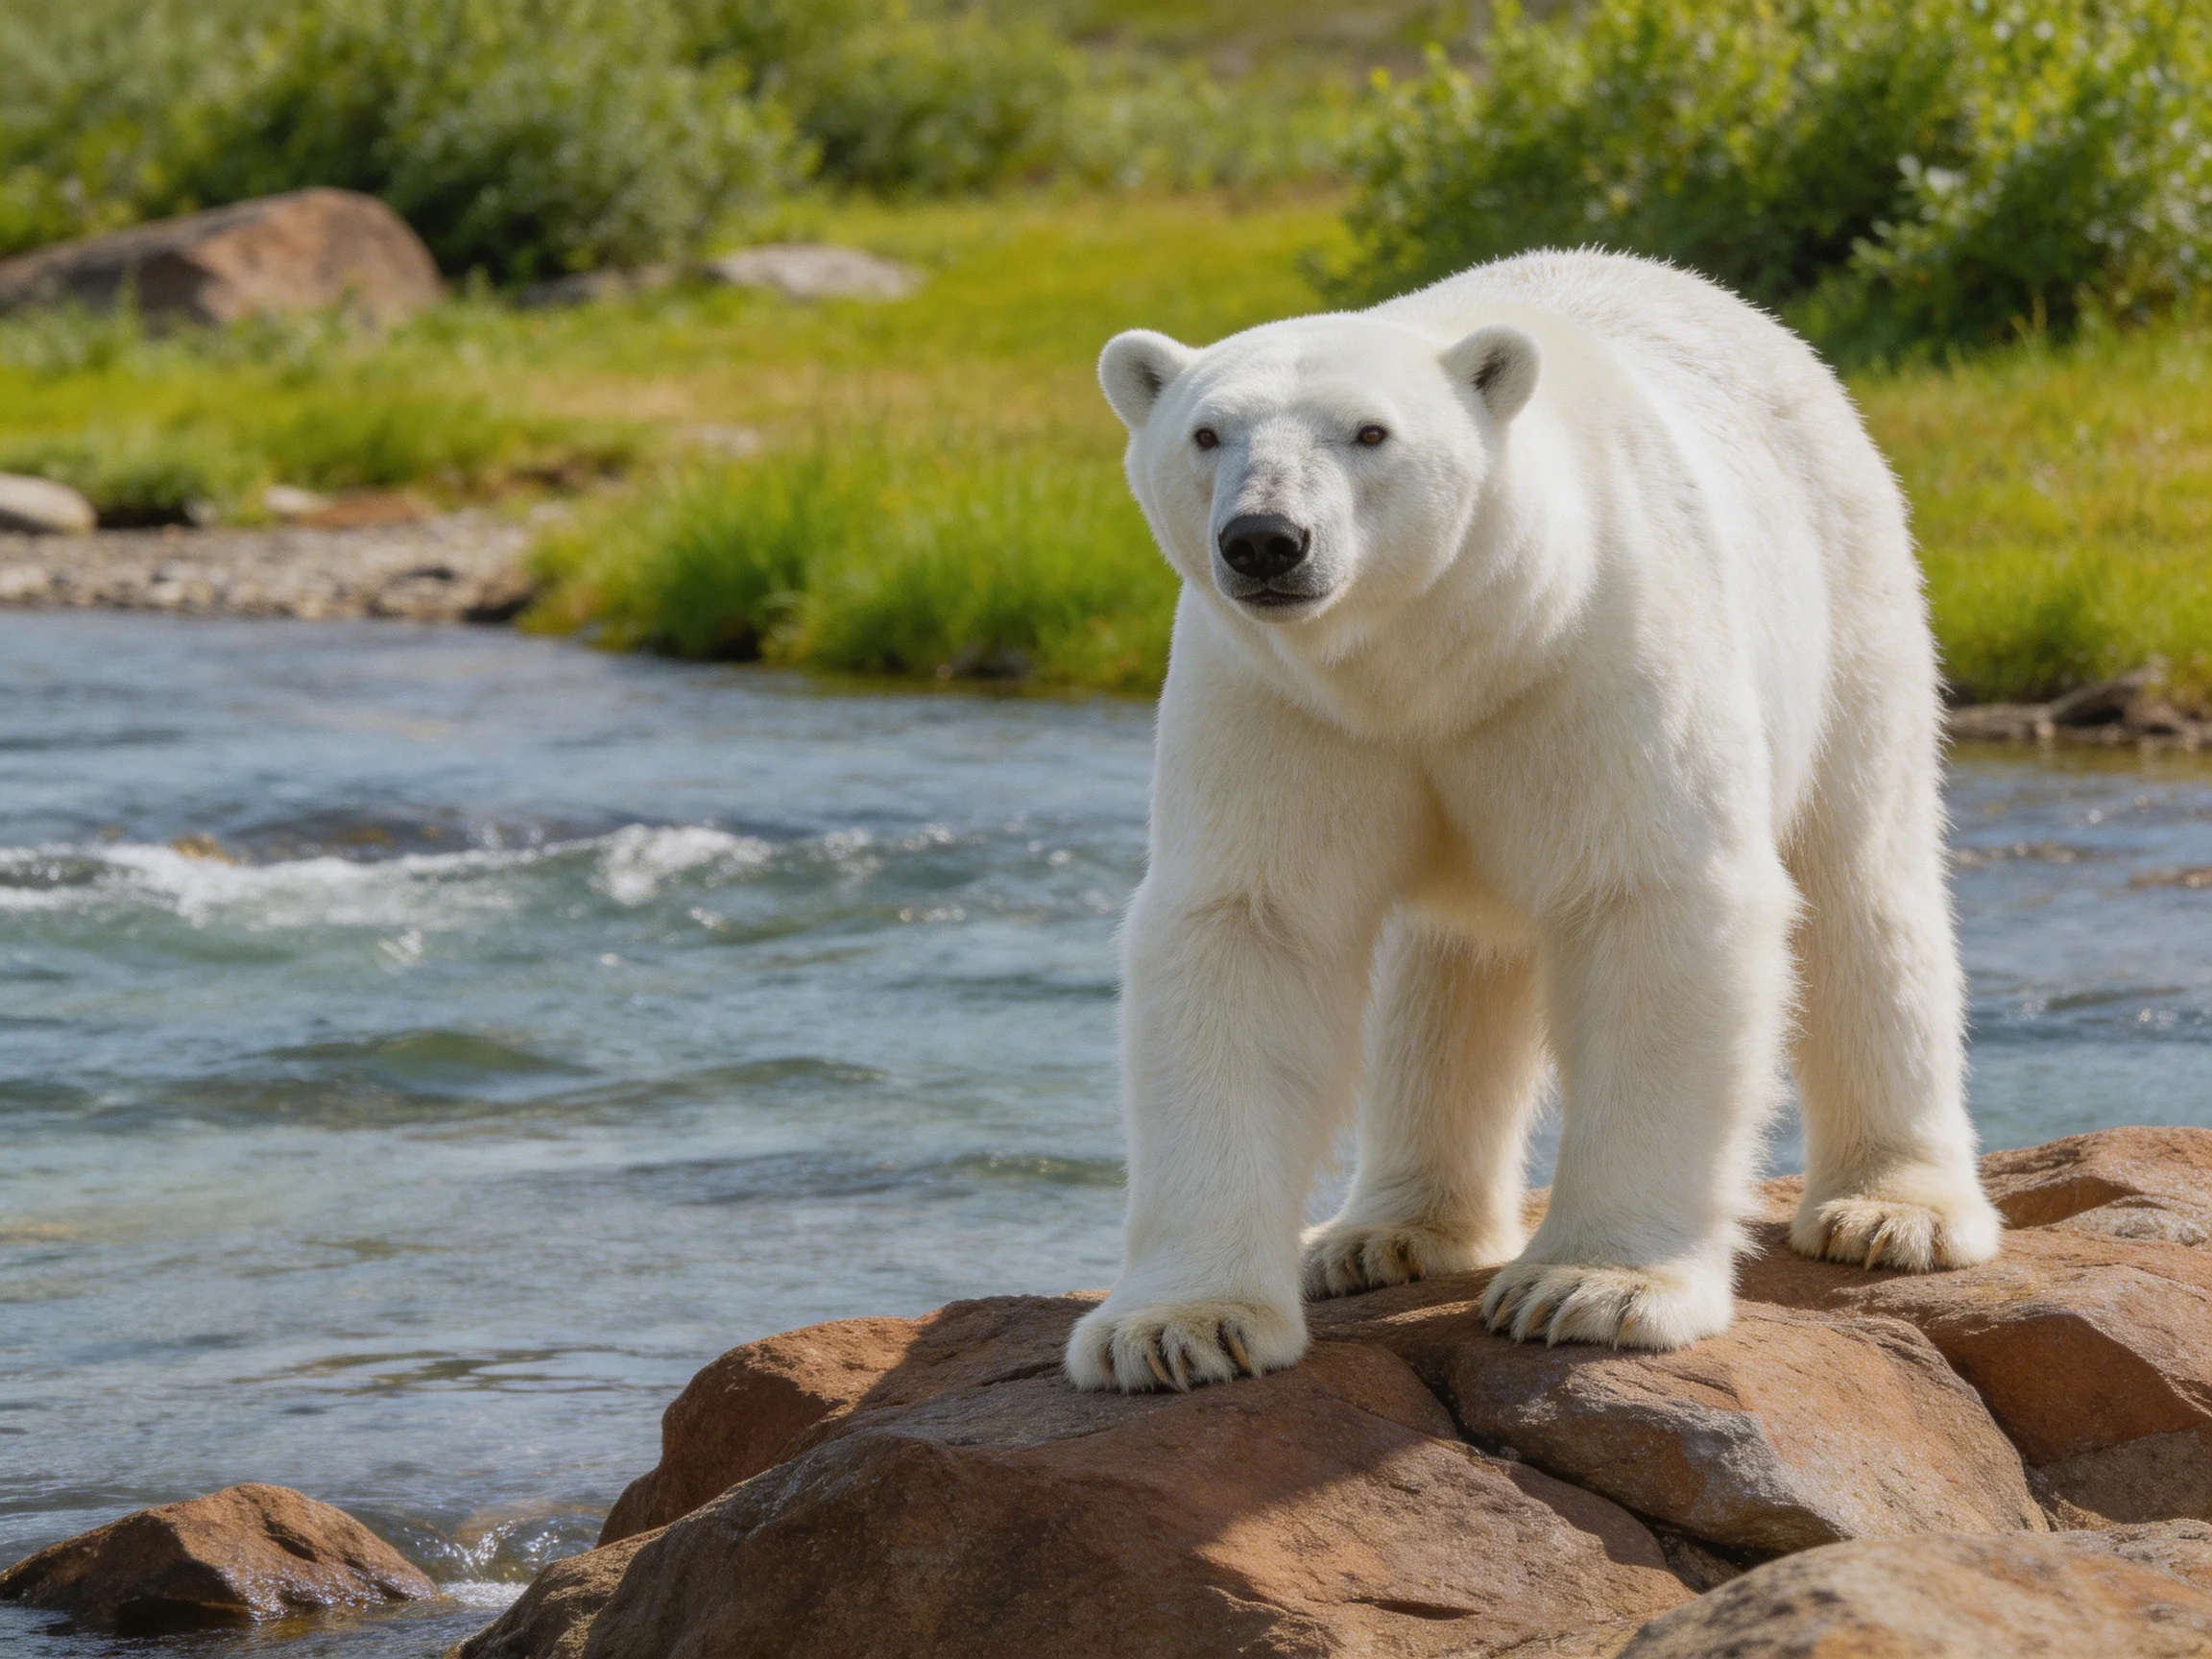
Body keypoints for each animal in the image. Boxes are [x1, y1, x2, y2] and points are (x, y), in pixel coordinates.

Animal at [1065, 248, 2003, 1394]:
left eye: (1369, 432)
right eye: (1207, 433)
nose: (1265, 542)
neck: (1449, 654)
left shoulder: (1597, 658)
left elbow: (1651, 900)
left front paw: (1595, 1290)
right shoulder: (1283, 703)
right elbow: (1250, 929)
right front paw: (1173, 1329)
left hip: (1849, 592)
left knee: (1861, 880)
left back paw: (1894, 1211)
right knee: (1447, 968)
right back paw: (1383, 1234)